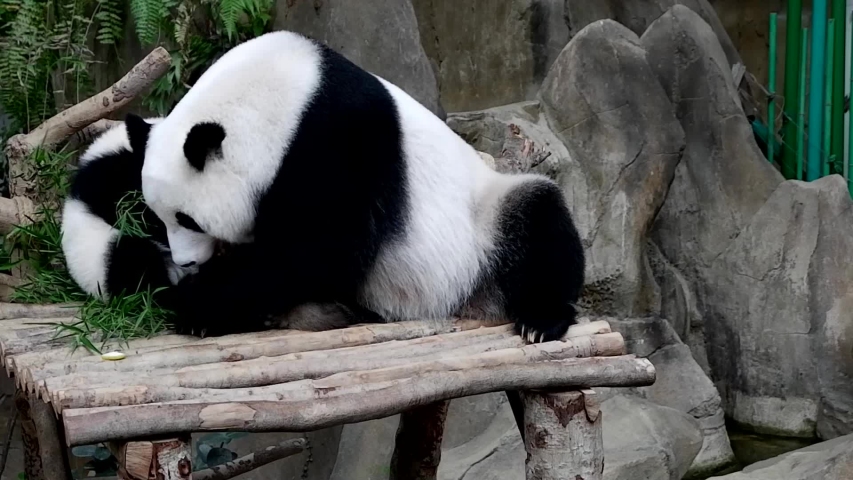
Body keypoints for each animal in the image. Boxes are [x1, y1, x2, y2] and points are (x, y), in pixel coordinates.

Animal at [130, 31, 585, 343]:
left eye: (189, 219)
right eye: (159, 218)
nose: (186, 262)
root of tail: (466, 302)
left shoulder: (338, 139)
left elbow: (320, 250)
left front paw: (194, 303)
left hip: (485, 217)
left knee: (540, 217)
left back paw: (542, 319)